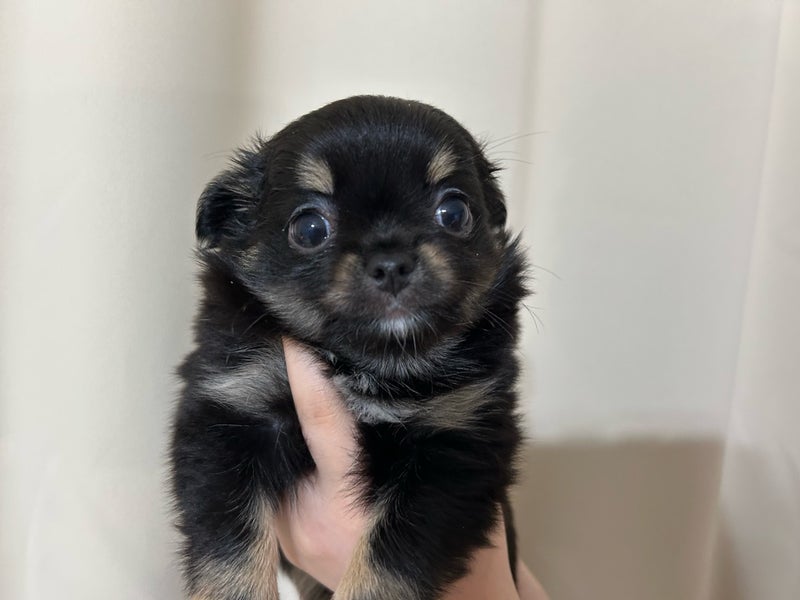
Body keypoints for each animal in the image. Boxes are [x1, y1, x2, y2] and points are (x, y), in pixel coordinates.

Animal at [171, 95, 527, 600]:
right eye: (309, 228)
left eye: (454, 214)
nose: (392, 263)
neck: (368, 361)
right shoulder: (232, 407)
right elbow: (229, 543)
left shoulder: (454, 442)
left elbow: (388, 561)